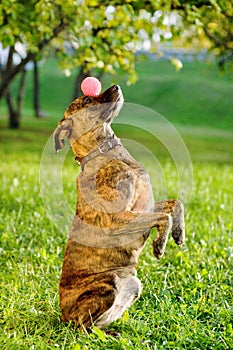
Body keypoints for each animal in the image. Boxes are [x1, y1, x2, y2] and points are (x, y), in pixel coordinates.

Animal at [53, 85, 185, 330]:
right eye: (87, 100)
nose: (116, 86)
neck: (104, 152)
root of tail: (62, 316)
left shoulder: (145, 206)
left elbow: (175, 205)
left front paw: (179, 234)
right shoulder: (119, 219)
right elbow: (164, 217)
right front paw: (159, 244)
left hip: (133, 284)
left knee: (98, 323)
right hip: (106, 286)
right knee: (83, 326)